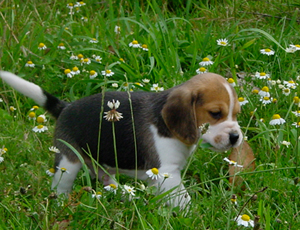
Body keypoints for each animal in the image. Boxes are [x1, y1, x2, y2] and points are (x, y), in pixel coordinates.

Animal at [0, 70, 243, 208]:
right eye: (215, 113)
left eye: (236, 114)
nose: (235, 137)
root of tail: (65, 108)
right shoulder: (168, 172)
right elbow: (183, 199)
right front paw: (190, 213)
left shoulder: (160, 175)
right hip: (68, 162)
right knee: (61, 186)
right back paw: (60, 205)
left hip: (100, 165)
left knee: (107, 180)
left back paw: (127, 197)